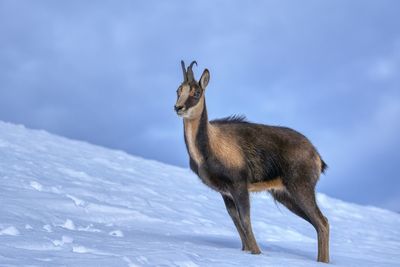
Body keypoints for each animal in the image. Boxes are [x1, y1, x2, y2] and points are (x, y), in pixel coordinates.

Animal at [173, 60, 330, 264]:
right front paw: (246, 251)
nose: (178, 108)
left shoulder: (239, 185)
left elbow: (246, 220)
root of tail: (317, 157)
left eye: (196, 92)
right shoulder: (225, 193)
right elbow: (236, 221)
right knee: (320, 223)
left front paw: (257, 253)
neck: (210, 146)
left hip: (300, 188)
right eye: (178, 90)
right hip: (284, 195)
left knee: (322, 222)